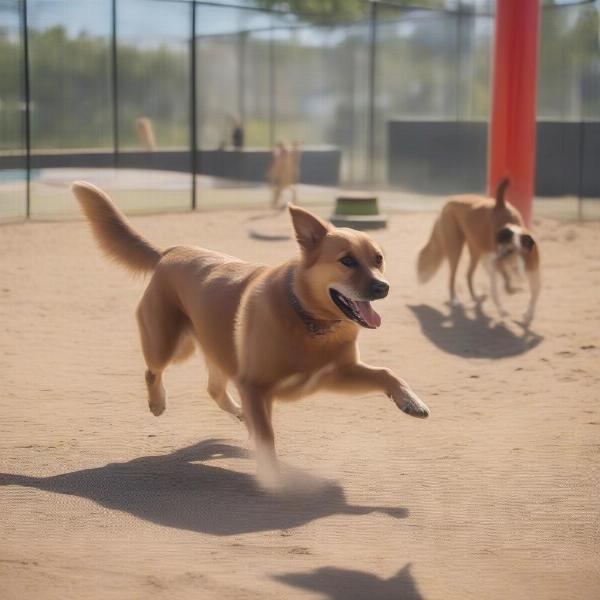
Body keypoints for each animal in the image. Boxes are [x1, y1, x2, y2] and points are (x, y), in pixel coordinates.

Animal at [72, 182, 428, 482]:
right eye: (347, 261)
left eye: (378, 259)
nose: (383, 287)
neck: (306, 320)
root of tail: (170, 252)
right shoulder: (254, 385)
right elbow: (268, 438)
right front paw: (273, 479)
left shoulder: (335, 375)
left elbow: (386, 372)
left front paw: (410, 401)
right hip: (169, 345)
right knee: (153, 371)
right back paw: (159, 402)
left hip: (217, 350)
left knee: (215, 390)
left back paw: (240, 415)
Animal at [418, 179, 540, 324]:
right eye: (503, 249)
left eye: (510, 251)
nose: (499, 259)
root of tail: (449, 201)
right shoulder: (496, 265)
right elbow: (501, 288)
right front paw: (505, 308)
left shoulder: (532, 271)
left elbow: (534, 294)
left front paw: (527, 315)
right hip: (455, 250)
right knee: (452, 278)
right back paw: (455, 300)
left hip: (475, 252)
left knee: (468, 274)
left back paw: (476, 297)